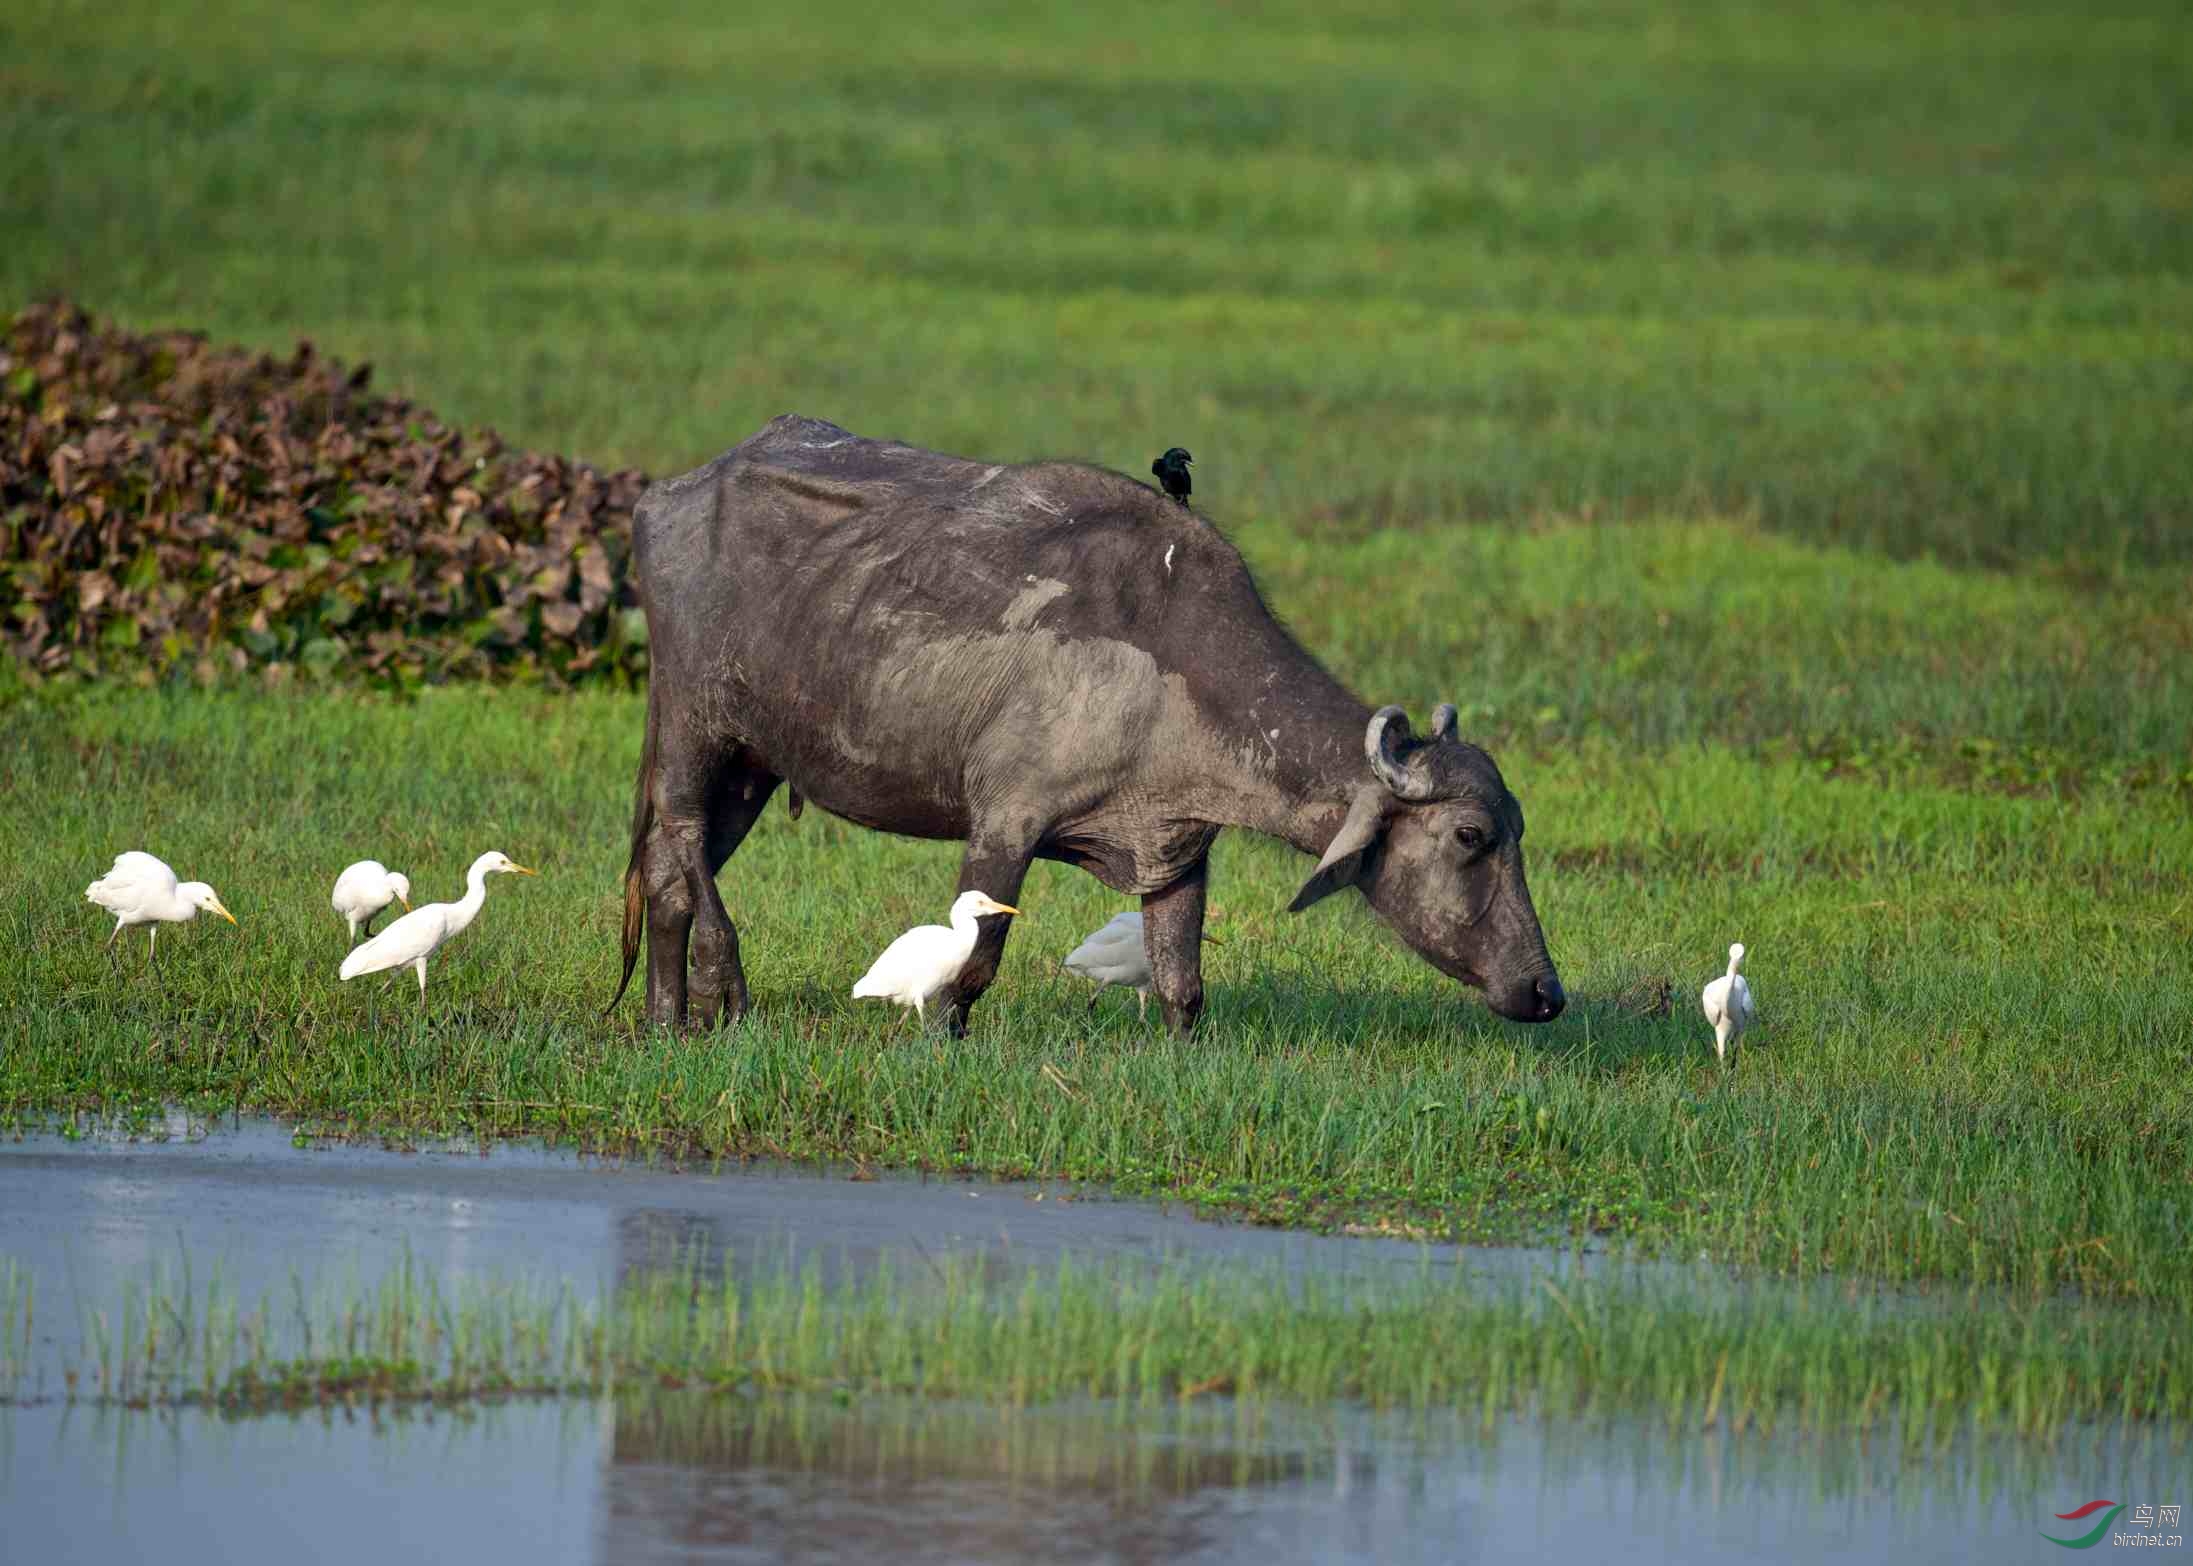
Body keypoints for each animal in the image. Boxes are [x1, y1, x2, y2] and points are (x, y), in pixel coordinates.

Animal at [609, 412, 1552, 1035]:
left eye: (1516, 830)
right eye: (1469, 836)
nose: (1547, 992)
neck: (1173, 667)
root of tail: (668, 497)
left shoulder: (1177, 848)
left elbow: (1180, 983)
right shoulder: (1004, 822)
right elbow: (972, 969)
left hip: (754, 763)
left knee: (664, 869)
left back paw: (662, 1019)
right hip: (694, 724)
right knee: (684, 850)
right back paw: (716, 987)